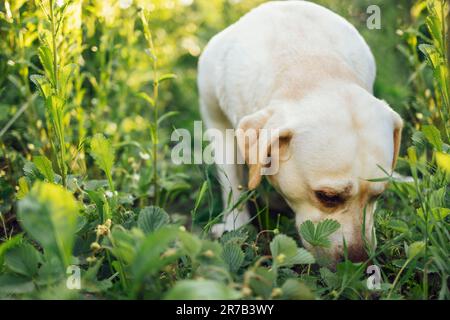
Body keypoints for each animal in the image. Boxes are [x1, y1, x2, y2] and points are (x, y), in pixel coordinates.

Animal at [199, 1, 402, 264]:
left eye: (379, 196)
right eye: (327, 196)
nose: (358, 261)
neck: (310, 66)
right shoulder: (215, 117)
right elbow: (232, 180)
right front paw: (236, 226)